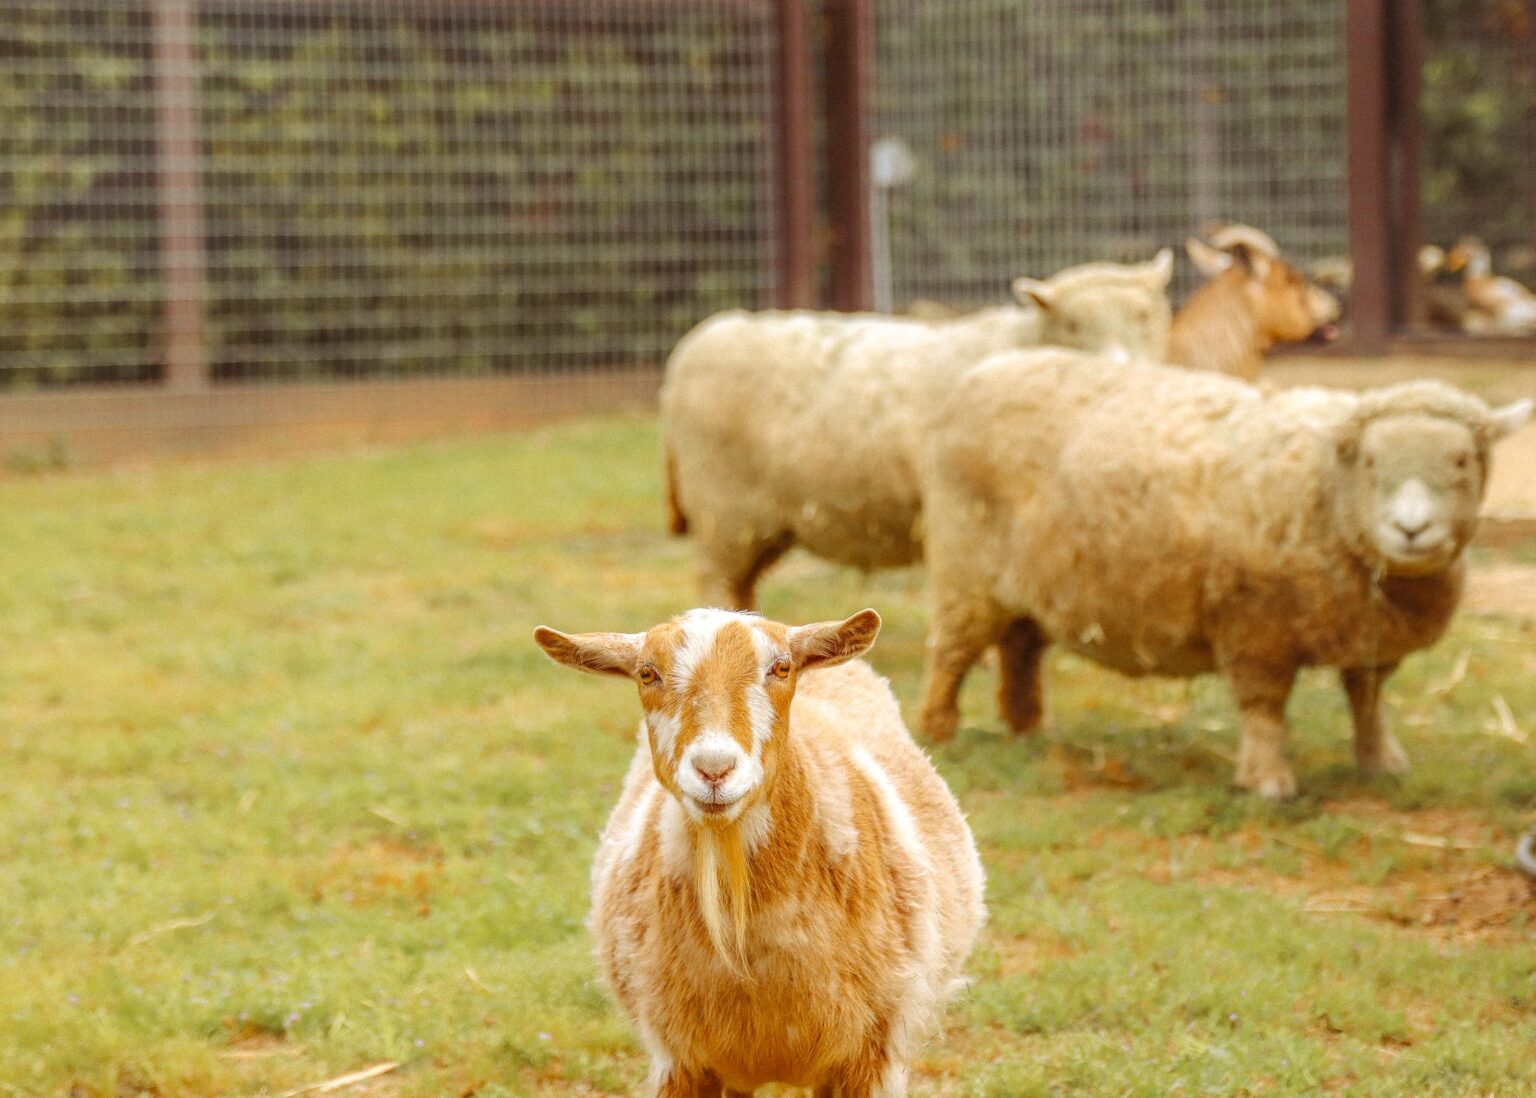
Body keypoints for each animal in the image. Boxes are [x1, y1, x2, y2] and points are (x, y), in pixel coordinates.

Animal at [662, 251, 1174, 608]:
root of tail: (694, 344)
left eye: (1146, 316)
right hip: (723, 511)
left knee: (742, 586)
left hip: (762, 523)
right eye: (1070, 323)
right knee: (715, 579)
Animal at [914, 348, 1532, 797]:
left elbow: (1369, 700)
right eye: (1372, 461)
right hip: (964, 567)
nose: (1411, 528)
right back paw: (938, 731)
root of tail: (985, 369)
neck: (1325, 494)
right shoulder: (1254, 626)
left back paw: (1027, 729)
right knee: (951, 655)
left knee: (1020, 649)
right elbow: (1264, 708)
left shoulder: (1369, 637)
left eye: (1462, 461)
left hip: (1030, 582)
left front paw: (1381, 761)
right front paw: (1268, 781)